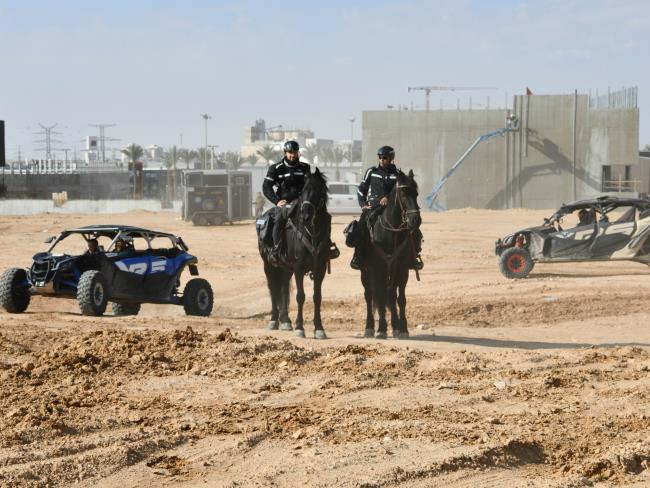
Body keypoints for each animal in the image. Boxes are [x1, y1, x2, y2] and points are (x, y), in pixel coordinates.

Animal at [256, 168, 332, 340]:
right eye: (303, 191)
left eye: (318, 191)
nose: (305, 215)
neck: (311, 233)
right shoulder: (299, 268)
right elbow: (300, 296)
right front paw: (300, 327)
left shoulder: (320, 269)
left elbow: (317, 297)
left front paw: (319, 329)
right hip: (268, 266)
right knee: (273, 288)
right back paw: (274, 320)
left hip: (286, 268)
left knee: (283, 287)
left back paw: (285, 321)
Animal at [360, 171, 420, 340]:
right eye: (404, 193)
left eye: (416, 193)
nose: (416, 220)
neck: (390, 233)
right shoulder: (377, 269)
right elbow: (380, 297)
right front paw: (381, 329)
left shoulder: (401, 269)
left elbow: (399, 299)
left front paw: (402, 328)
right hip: (365, 272)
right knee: (369, 295)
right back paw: (369, 327)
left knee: (390, 295)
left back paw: (395, 326)